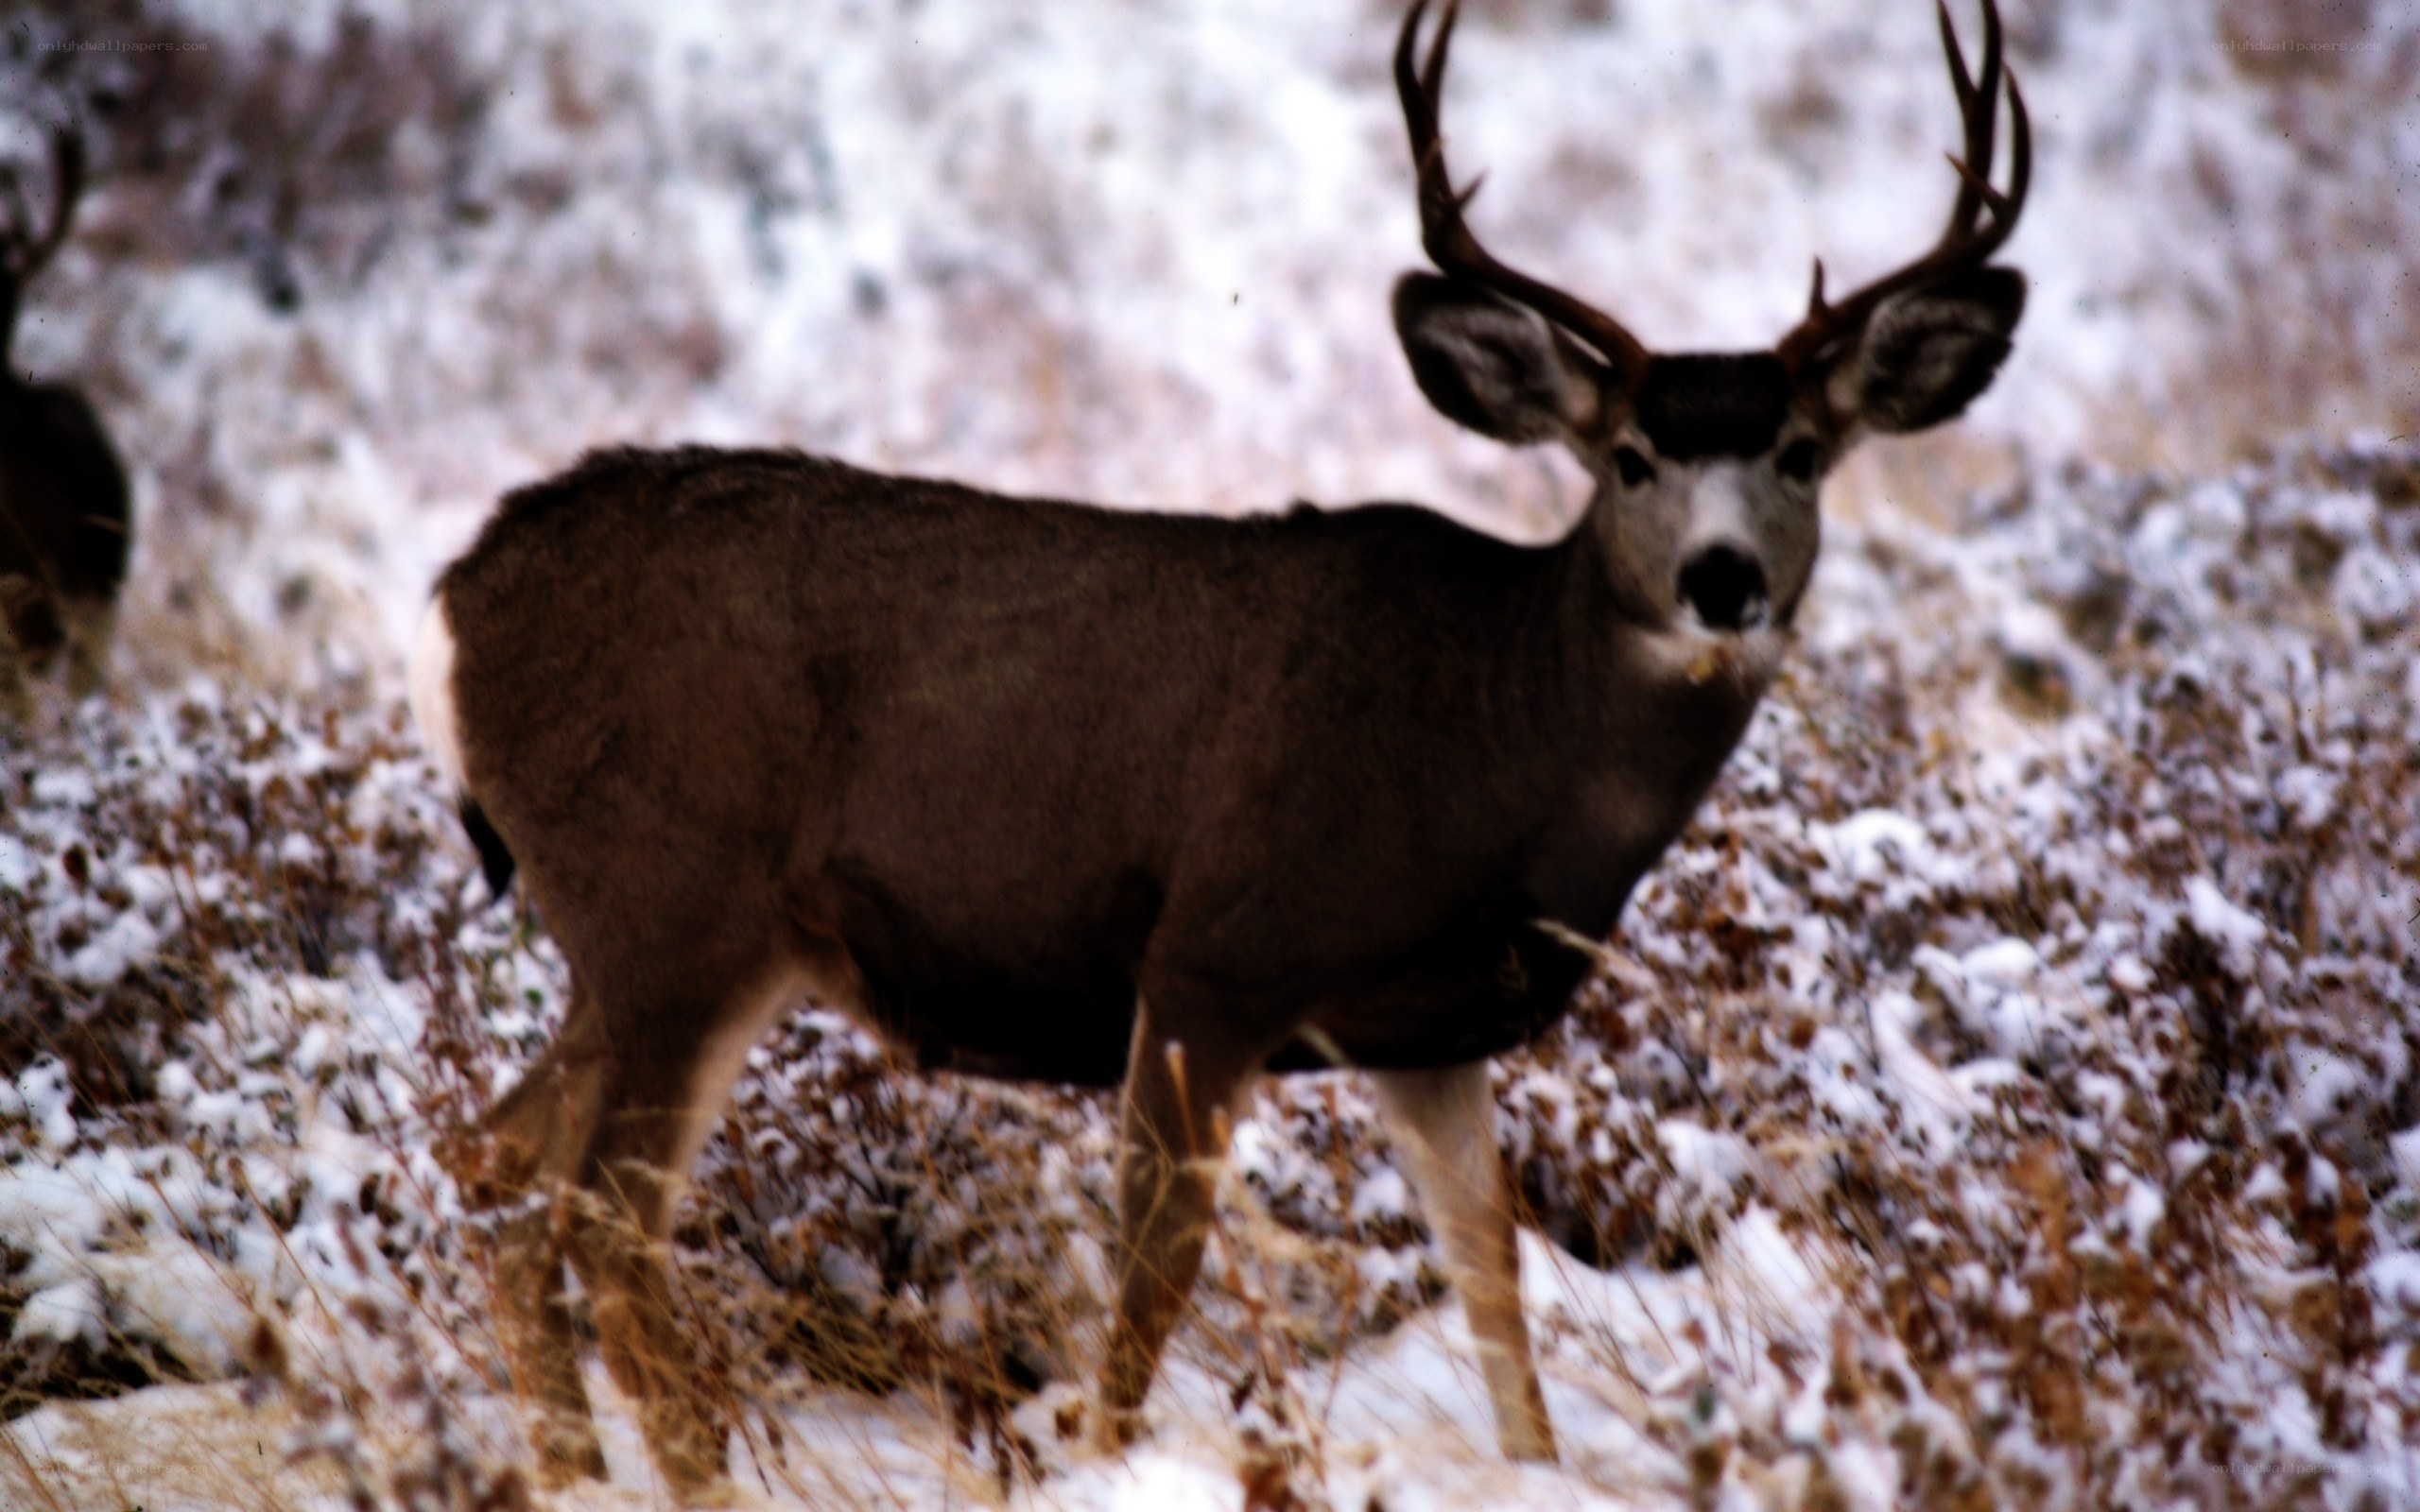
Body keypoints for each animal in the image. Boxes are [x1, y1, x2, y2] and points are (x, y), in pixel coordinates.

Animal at [410, 0, 2028, 1495]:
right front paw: (1111, 1465)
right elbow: (1150, 1285)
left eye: (1802, 455)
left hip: (646, 945)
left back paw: (564, 1470)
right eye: (1631, 458)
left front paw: (1534, 1468)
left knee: (497, 1169)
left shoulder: (1428, 1032)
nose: (1723, 582)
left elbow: (1495, 1286)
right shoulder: (1215, 952)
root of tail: (457, 599)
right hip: (678, 905)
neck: (1499, 736)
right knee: (607, 1228)